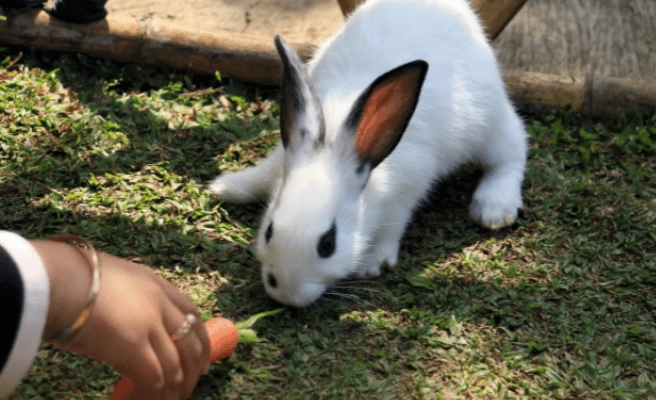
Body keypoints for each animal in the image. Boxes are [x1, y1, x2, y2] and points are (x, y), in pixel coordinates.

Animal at [209, 0, 527, 307]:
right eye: (269, 231)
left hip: (491, 125)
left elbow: (393, 224)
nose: (286, 295)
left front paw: (373, 262)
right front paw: (227, 186)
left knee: (513, 151)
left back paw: (494, 207)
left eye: (328, 244)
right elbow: (265, 171)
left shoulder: (409, 188)